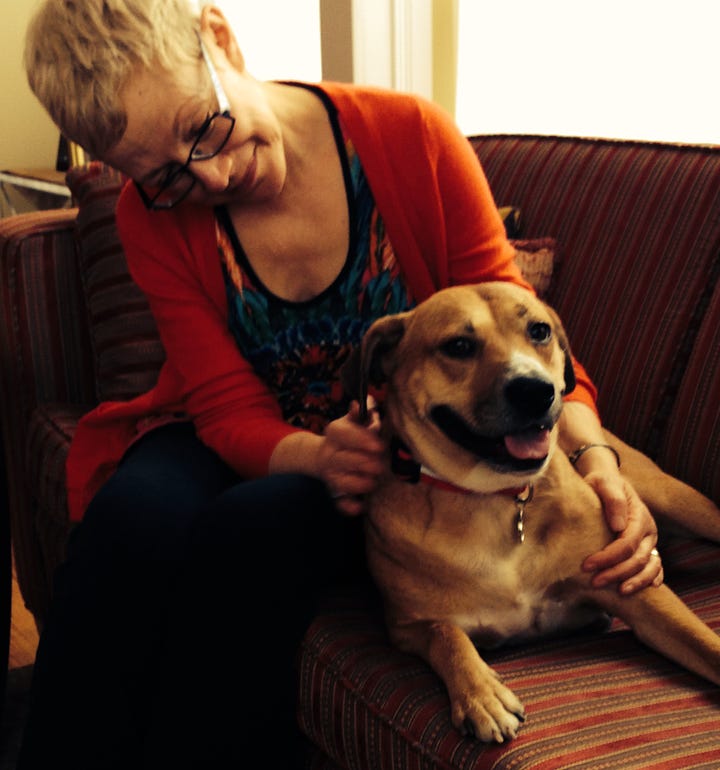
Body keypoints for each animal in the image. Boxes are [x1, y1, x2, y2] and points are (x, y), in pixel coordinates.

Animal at [342, 282, 720, 744]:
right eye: (458, 346)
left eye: (539, 331)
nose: (536, 390)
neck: (495, 497)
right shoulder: (406, 626)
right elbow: (445, 634)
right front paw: (481, 695)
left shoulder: (636, 590)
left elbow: (702, 640)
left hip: (675, 499)